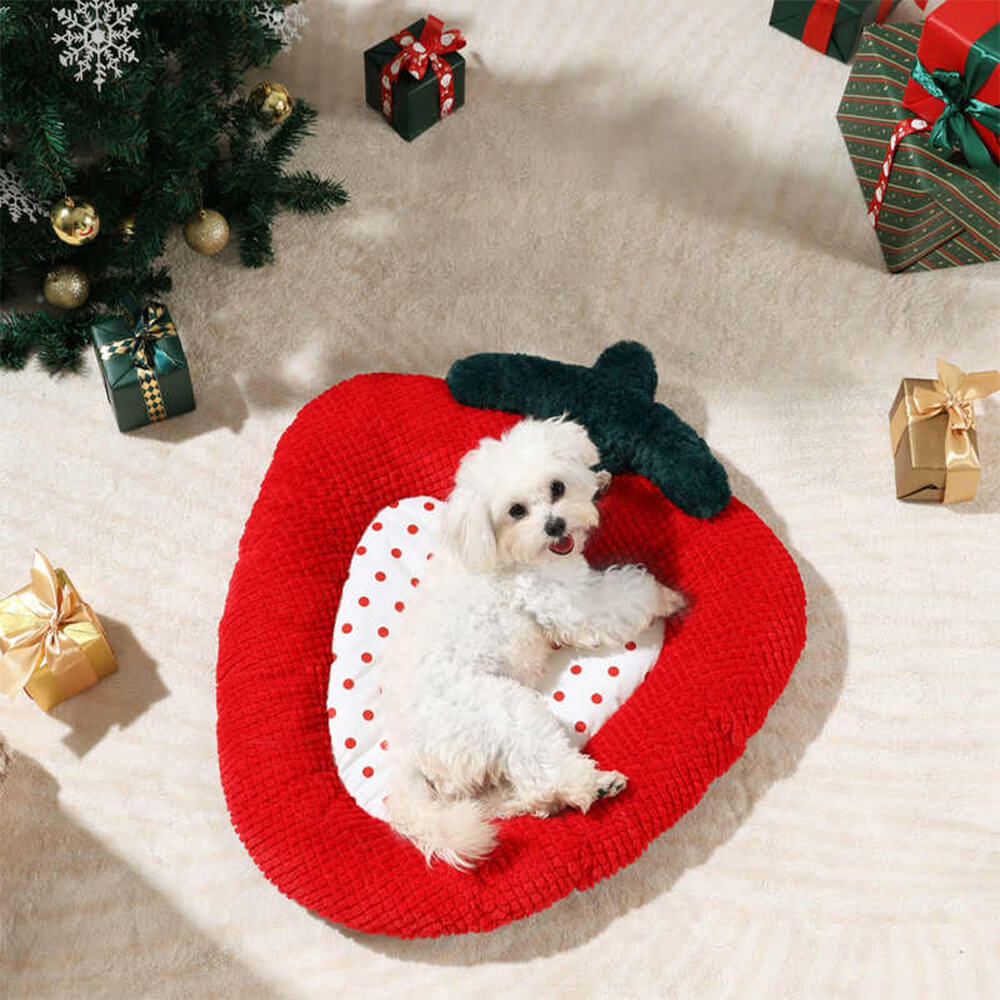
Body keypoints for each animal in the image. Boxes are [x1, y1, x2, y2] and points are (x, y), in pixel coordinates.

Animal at [378, 414, 684, 868]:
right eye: (516, 511)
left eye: (556, 487)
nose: (555, 526)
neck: (501, 552)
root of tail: (404, 754)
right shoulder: (571, 603)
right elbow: (624, 597)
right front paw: (666, 596)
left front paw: (599, 479)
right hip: (507, 710)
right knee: (546, 765)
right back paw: (592, 785)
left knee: (520, 790)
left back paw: (539, 804)